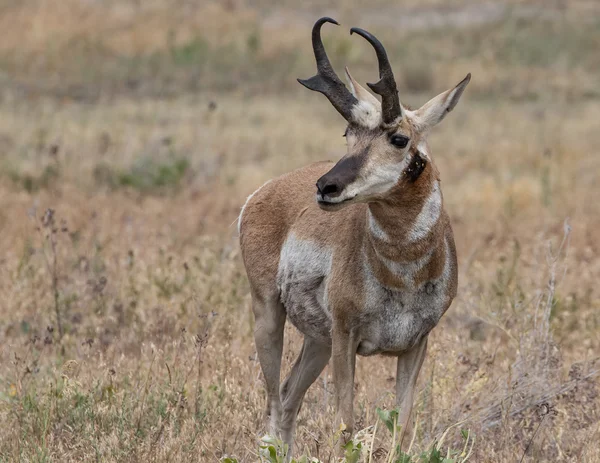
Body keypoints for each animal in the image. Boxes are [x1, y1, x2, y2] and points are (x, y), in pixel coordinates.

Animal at [238, 17, 468, 454]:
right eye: (348, 133)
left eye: (399, 138)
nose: (326, 187)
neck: (402, 274)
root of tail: (266, 190)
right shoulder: (347, 339)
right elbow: (345, 427)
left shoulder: (416, 345)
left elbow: (403, 429)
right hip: (270, 316)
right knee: (274, 406)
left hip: (318, 342)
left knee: (289, 398)